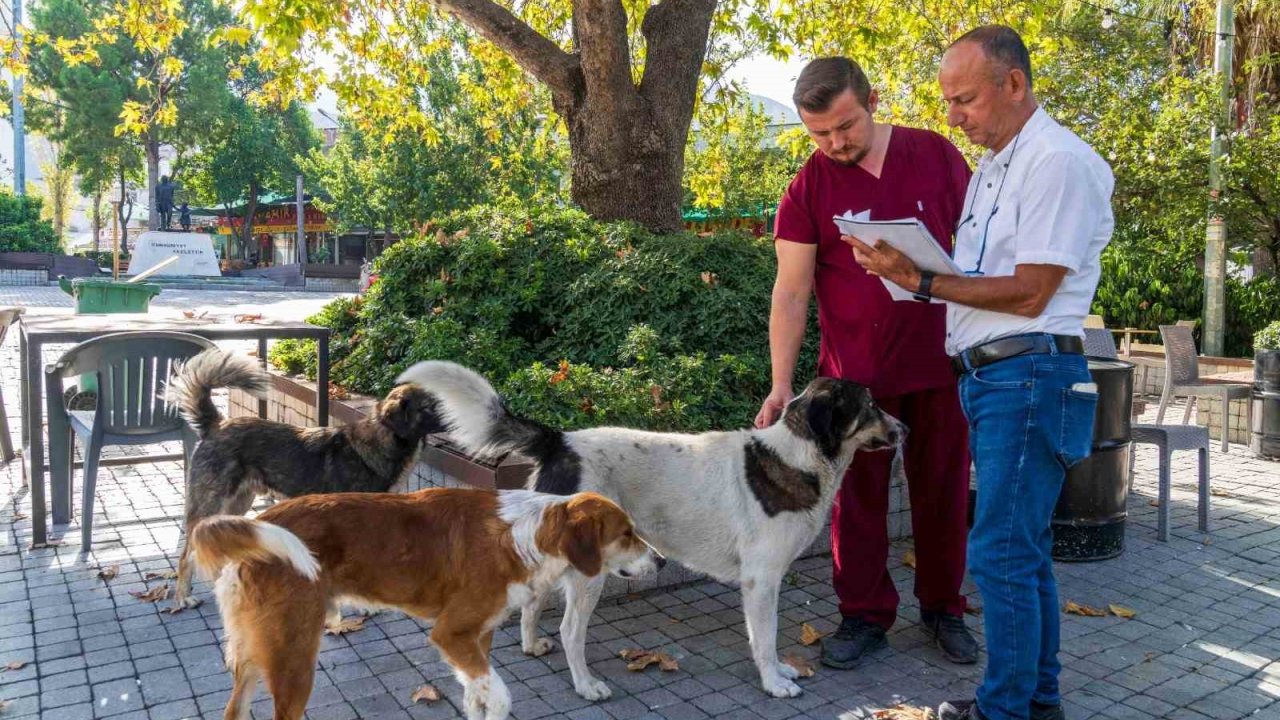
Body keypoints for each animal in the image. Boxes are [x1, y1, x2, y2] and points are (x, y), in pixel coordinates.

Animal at [165, 348, 445, 604]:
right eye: (430, 406)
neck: (379, 444)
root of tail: (216, 425)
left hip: (239, 501)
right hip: (213, 503)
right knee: (187, 553)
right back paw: (183, 596)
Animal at [189, 486, 660, 717]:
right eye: (626, 534)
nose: (660, 560)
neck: (526, 534)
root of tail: (260, 520)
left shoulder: (476, 637)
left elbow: (476, 698)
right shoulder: (450, 633)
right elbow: (500, 699)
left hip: (257, 655)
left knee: (233, 711)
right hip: (293, 659)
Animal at [394, 358, 906, 696]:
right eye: (871, 405)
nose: (904, 430)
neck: (797, 457)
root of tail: (561, 440)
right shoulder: (761, 582)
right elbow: (766, 638)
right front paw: (775, 681)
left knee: (532, 605)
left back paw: (531, 645)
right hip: (590, 574)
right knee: (571, 631)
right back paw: (586, 685)